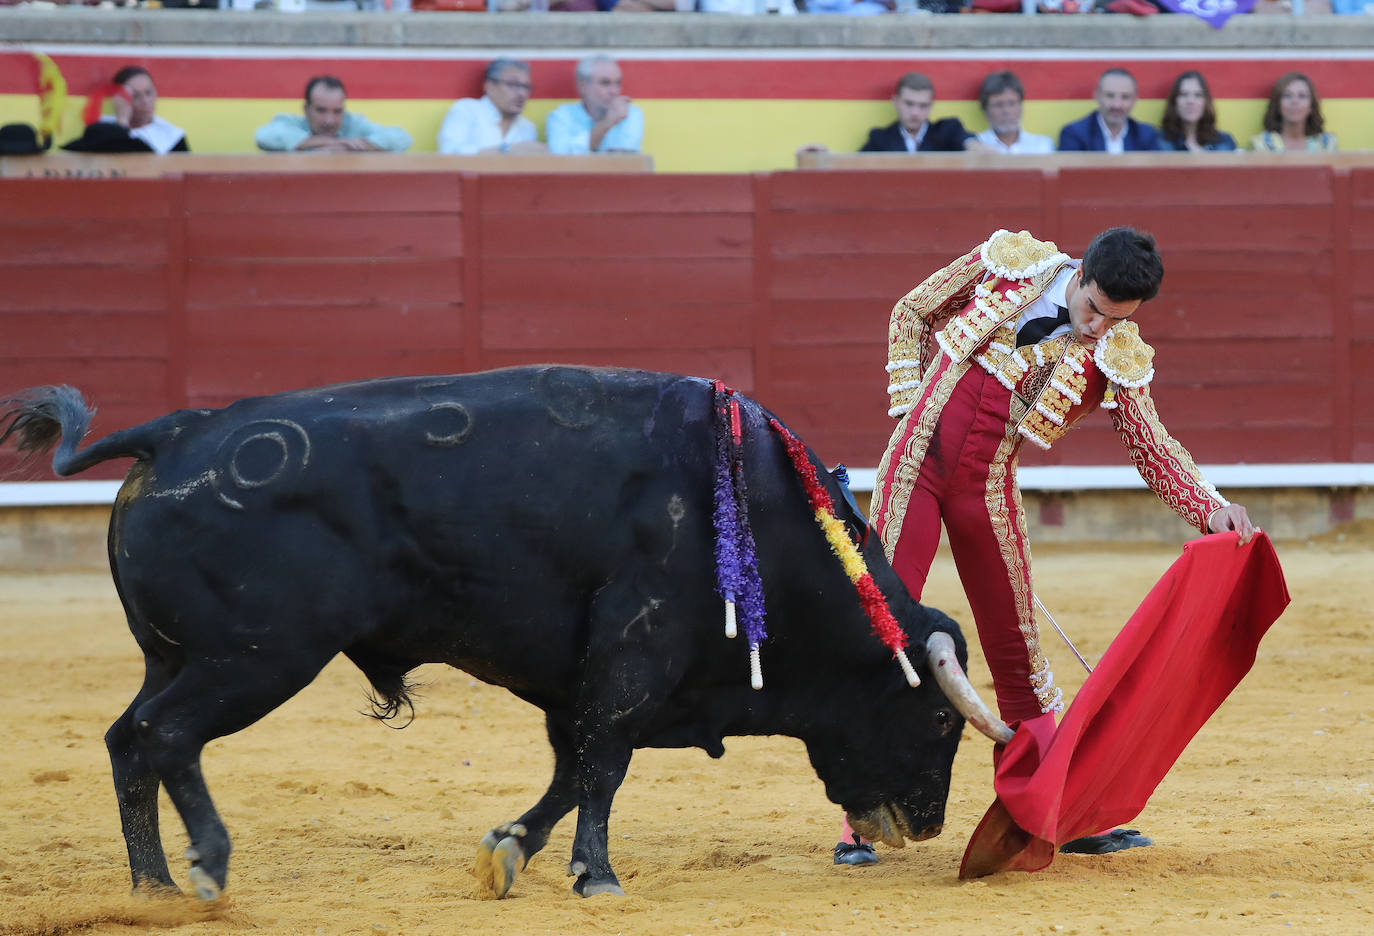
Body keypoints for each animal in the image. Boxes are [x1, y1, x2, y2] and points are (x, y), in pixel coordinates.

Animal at [0, 365, 1011, 896]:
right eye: (939, 719)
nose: (923, 826)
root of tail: (175, 433)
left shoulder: (579, 678)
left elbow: (571, 769)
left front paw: (511, 850)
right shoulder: (632, 654)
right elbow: (604, 765)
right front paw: (594, 875)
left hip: (176, 657)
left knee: (126, 739)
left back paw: (155, 885)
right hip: (255, 658)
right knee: (166, 735)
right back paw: (205, 866)